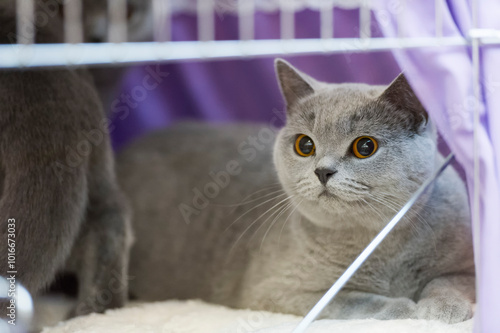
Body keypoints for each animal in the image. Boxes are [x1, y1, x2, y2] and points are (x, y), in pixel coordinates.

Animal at [119, 59, 474, 322]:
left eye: (365, 147)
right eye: (305, 145)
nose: (323, 171)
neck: (381, 248)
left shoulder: (468, 259)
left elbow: (450, 280)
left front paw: (444, 309)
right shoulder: (278, 290)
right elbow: (350, 299)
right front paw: (402, 307)